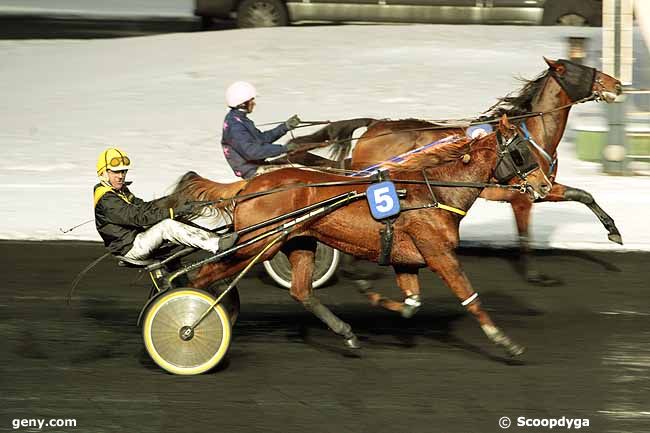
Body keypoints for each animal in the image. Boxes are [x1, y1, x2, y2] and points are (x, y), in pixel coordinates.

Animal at [166, 115, 548, 354]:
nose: (545, 185)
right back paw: (191, 319)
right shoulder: (439, 254)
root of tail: (250, 185)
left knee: (301, 291)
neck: (435, 191)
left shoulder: (407, 261)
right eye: (521, 152)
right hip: (257, 243)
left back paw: (346, 333)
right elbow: (471, 298)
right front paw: (504, 341)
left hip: (297, 241)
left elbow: (411, 305)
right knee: (203, 274)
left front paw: (372, 296)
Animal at [292, 59, 620, 286]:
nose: (617, 84)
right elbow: (525, 236)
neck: (529, 134)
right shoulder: (522, 196)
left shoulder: (542, 186)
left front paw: (613, 232)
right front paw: (536, 275)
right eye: (582, 70)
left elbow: (584, 195)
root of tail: (374, 125)